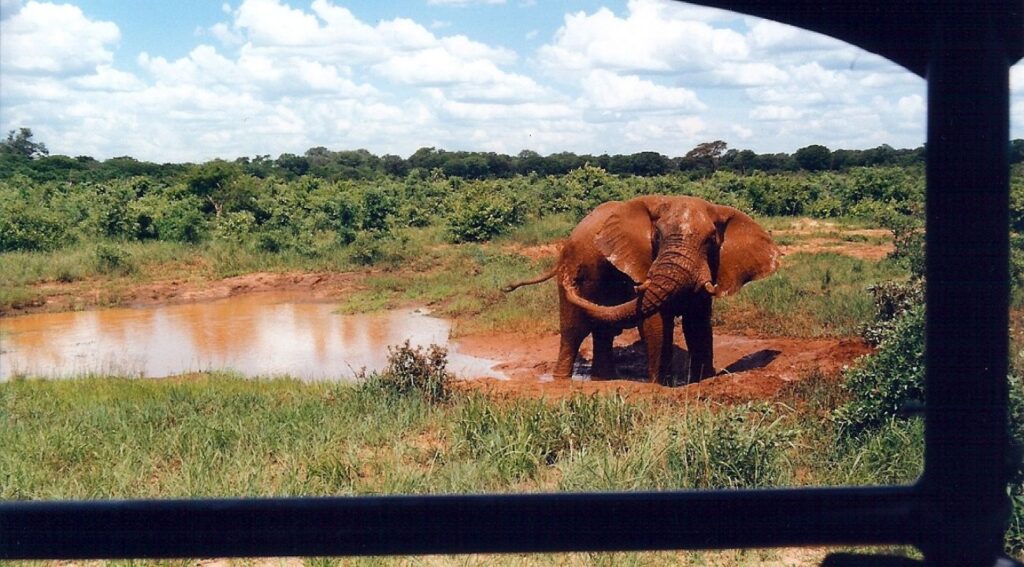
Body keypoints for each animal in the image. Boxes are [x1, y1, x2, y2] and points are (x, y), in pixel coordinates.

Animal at [501, 194, 774, 384]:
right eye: (657, 238)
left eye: (711, 241)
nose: (573, 276)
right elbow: (655, 323)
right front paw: (660, 385)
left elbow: (698, 325)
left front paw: (703, 380)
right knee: (573, 330)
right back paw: (561, 380)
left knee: (603, 331)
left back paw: (603, 379)